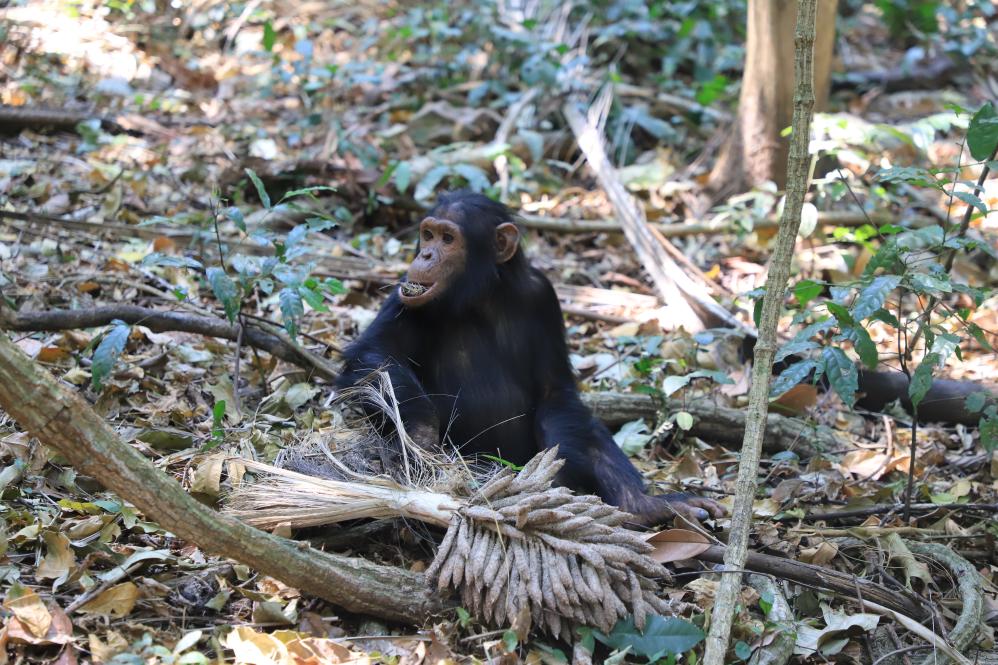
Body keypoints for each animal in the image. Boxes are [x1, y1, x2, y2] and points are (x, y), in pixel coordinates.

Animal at [340, 191, 724, 524]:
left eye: (448, 239)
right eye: (428, 234)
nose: (425, 255)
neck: (480, 296)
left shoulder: (543, 295)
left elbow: (554, 391)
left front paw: (556, 476)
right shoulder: (406, 293)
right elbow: (375, 352)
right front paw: (419, 436)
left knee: (585, 427)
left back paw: (644, 506)